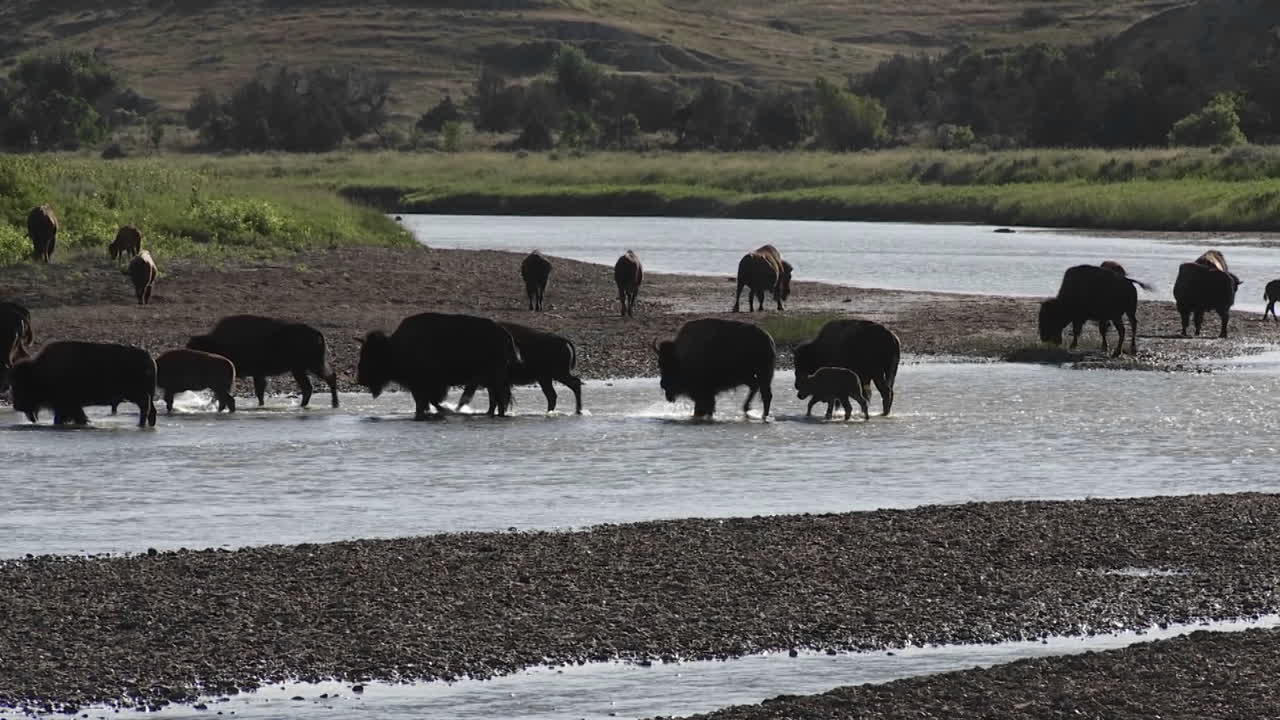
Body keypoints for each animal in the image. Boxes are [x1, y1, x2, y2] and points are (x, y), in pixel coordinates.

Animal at [10, 341, 156, 427]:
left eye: (23, 385)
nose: (16, 405)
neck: (39, 371)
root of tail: (149, 358)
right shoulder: (66, 406)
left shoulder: (67, 404)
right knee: (151, 410)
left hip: (137, 394)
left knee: (145, 407)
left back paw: (140, 425)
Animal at [188, 315, 338, 408]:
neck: (216, 342)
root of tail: (317, 333)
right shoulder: (258, 374)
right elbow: (259, 392)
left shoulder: (257, 374)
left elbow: (258, 391)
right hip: (300, 369)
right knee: (310, 387)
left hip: (311, 366)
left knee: (327, 379)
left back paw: (334, 404)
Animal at [357, 312, 520, 420]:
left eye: (371, 356)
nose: (360, 379)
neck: (393, 348)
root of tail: (505, 334)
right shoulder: (419, 386)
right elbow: (426, 401)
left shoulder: (426, 384)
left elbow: (429, 401)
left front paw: (444, 411)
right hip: (489, 379)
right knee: (495, 398)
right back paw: (488, 414)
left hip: (493, 378)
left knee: (499, 397)